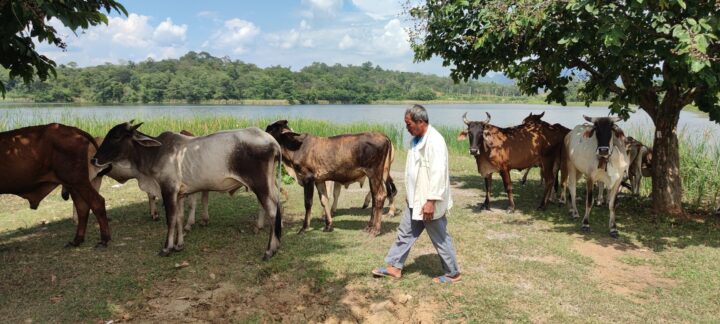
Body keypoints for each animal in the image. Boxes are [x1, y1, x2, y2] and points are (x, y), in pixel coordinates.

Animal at [89, 121, 282, 260]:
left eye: (116, 137)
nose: (94, 159)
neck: (155, 153)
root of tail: (272, 141)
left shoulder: (168, 190)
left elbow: (170, 219)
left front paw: (166, 248)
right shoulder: (180, 194)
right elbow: (180, 218)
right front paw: (179, 245)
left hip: (260, 185)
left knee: (272, 211)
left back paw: (269, 251)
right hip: (269, 184)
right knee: (278, 207)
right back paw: (275, 246)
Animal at [266, 120, 400, 237]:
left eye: (269, 130)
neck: (295, 148)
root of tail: (383, 136)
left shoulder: (308, 178)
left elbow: (308, 203)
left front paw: (303, 228)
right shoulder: (319, 180)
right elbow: (324, 200)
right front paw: (328, 226)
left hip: (375, 173)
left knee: (380, 195)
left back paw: (375, 230)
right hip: (374, 175)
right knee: (375, 196)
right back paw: (369, 226)